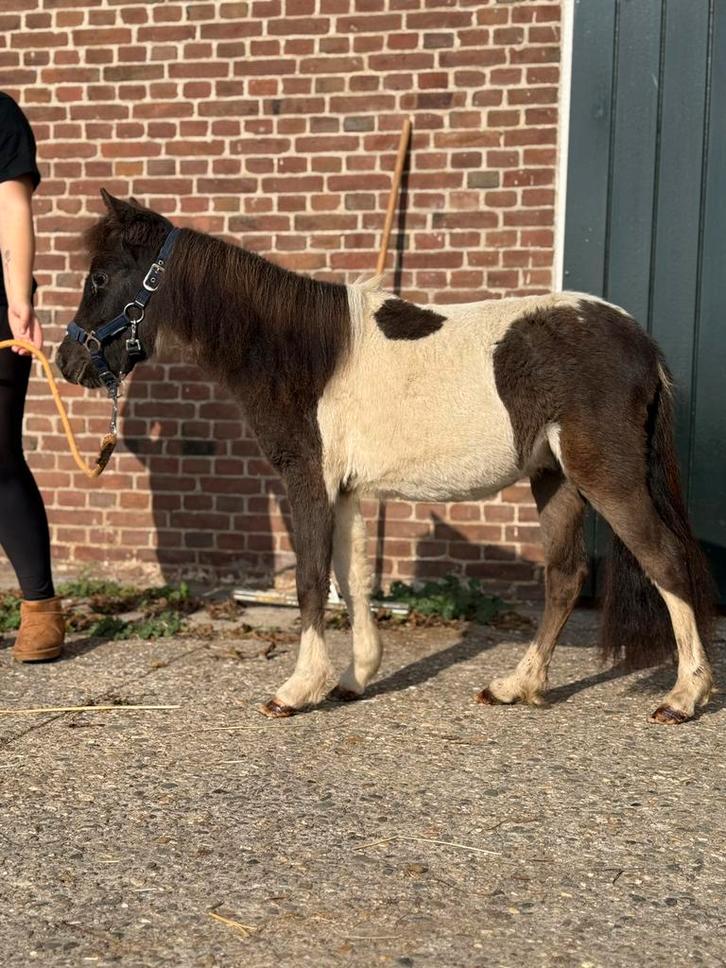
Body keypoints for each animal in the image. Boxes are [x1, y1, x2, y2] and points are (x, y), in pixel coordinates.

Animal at [56, 191, 715, 725]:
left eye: (100, 278)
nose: (68, 362)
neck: (304, 354)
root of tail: (640, 343)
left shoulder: (309, 479)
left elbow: (311, 580)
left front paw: (298, 689)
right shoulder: (346, 489)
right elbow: (351, 580)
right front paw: (354, 678)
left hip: (606, 477)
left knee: (664, 560)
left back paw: (685, 697)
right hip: (555, 480)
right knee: (565, 576)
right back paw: (516, 686)